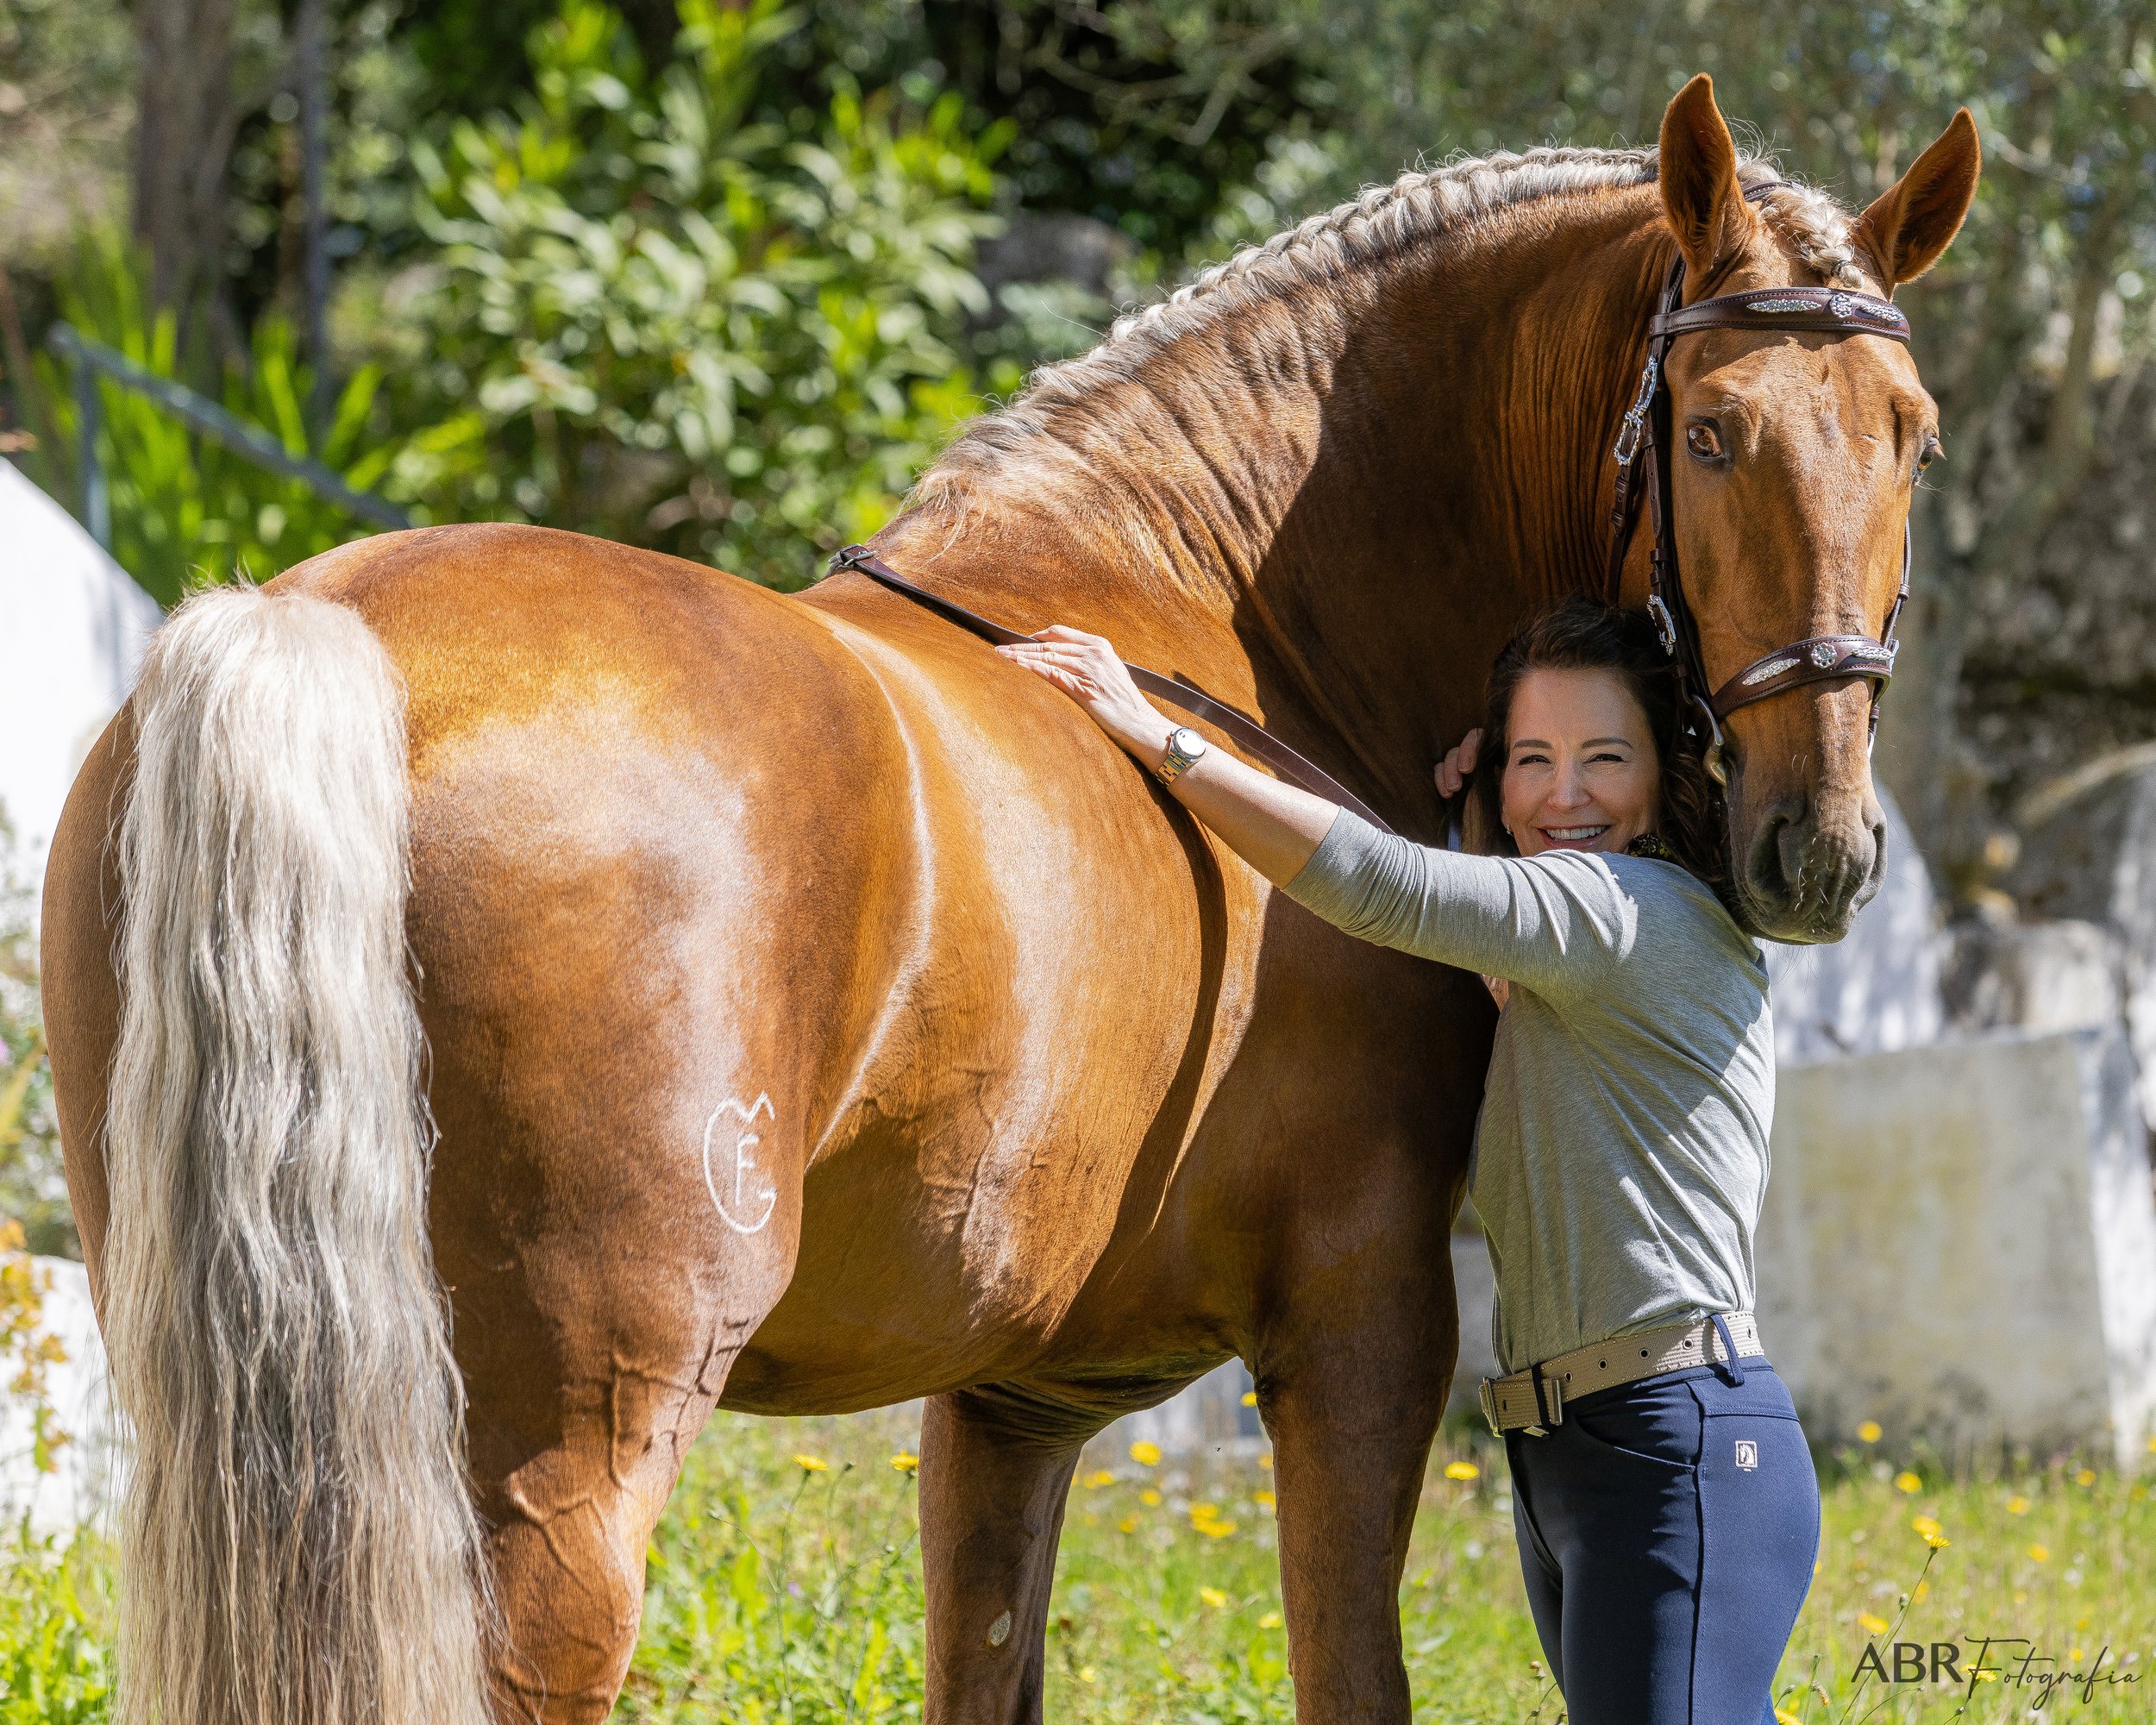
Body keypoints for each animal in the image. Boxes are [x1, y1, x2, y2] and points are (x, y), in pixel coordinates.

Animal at [41, 76, 1977, 1725]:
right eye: (1711, 433)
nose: (1816, 848)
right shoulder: (1361, 1330)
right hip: (566, 1457)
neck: (1219, 622)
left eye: (1913, 437)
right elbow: (1350, 1675)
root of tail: (321, 630)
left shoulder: (1009, 1404)